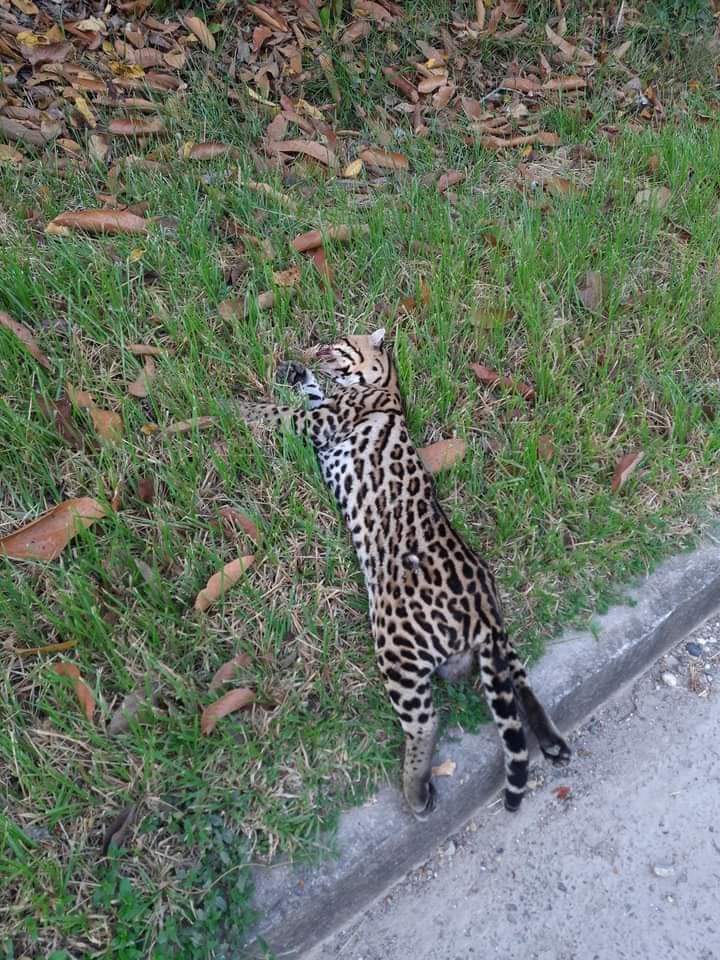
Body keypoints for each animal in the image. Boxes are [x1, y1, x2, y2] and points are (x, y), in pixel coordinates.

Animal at [235, 328, 570, 818]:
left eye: (338, 343)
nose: (314, 348)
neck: (383, 382)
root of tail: (483, 615)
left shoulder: (319, 424)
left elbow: (283, 412)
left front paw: (238, 407)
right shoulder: (324, 409)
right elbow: (310, 394)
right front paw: (296, 374)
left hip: (397, 647)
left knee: (425, 721)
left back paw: (416, 789)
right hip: (501, 643)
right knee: (519, 682)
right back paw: (549, 738)